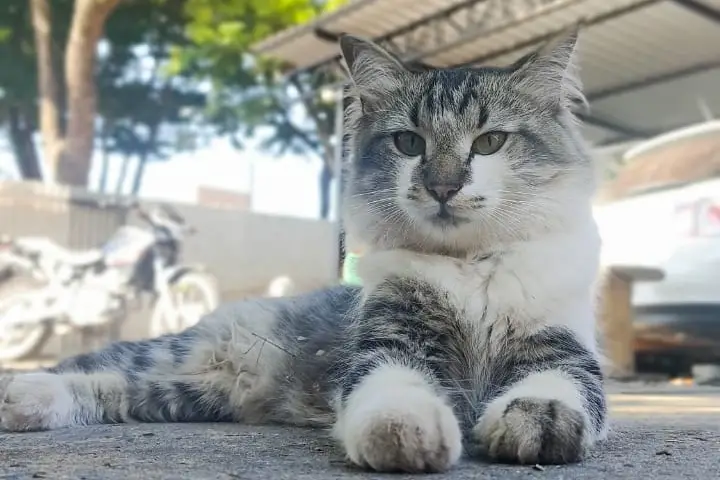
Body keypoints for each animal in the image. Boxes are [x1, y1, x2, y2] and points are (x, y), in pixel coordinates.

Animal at [0, 28, 607, 474]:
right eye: (409, 143)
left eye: (490, 142)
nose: (442, 186)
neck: (467, 267)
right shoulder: (388, 338)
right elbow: (393, 388)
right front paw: (402, 431)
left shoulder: (564, 345)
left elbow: (558, 387)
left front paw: (538, 419)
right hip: (180, 355)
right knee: (95, 366)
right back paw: (21, 392)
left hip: (185, 391)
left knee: (109, 388)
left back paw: (27, 403)